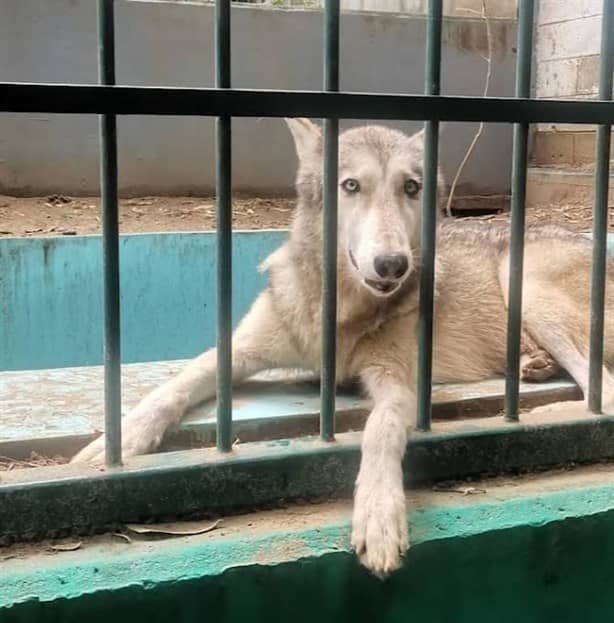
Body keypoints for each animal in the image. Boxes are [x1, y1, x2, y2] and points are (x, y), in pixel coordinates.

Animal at [74, 119, 614, 576]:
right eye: (350, 185)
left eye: (411, 187)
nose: (393, 264)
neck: (342, 314)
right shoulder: (239, 348)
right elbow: (174, 386)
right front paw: (112, 446)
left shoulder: (396, 386)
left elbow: (379, 433)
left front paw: (379, 516)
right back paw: (531, 366)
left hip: (523, 282)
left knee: (602, 393)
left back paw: (533, 417)